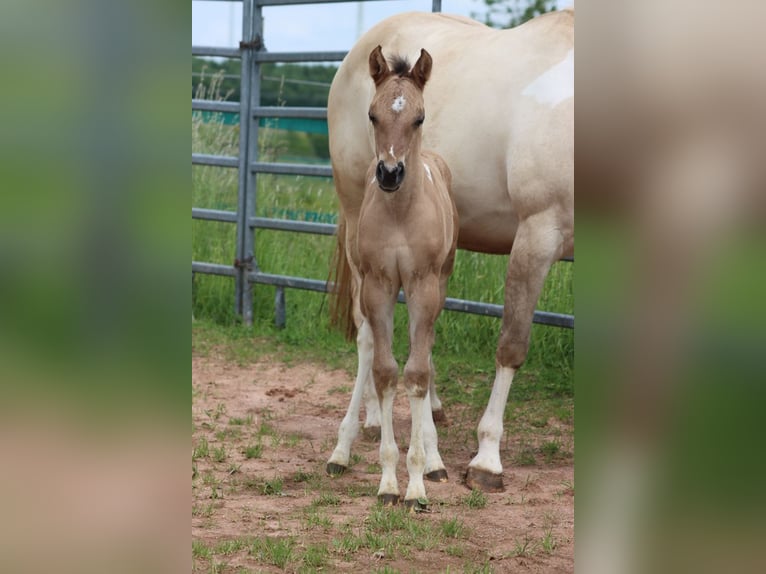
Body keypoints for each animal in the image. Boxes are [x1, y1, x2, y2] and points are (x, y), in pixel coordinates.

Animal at [325, 10, 574, 493]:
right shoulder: (537, 233)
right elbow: (512, 345)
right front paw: (487, 460)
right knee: (368, 334)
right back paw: (364, 426)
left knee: (421, 338)